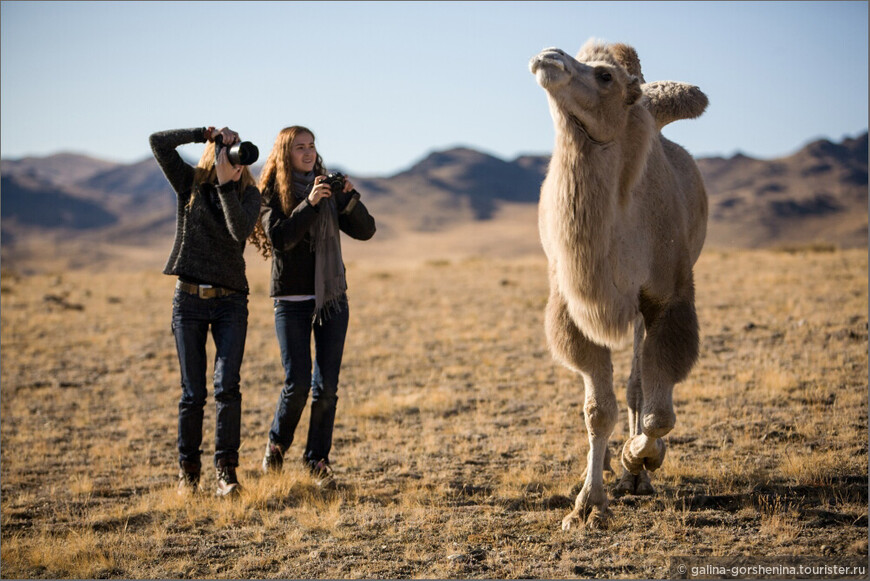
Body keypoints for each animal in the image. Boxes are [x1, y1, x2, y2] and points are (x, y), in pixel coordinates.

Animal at [532, 39, 708, 532]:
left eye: (604, 76)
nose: (548, 56)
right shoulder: (575, 305)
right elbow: (598, 411)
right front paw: (588, 505)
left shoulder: (668, 296)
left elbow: (660, 413)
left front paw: (639, 457)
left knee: (640, 386)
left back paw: (636, 473)